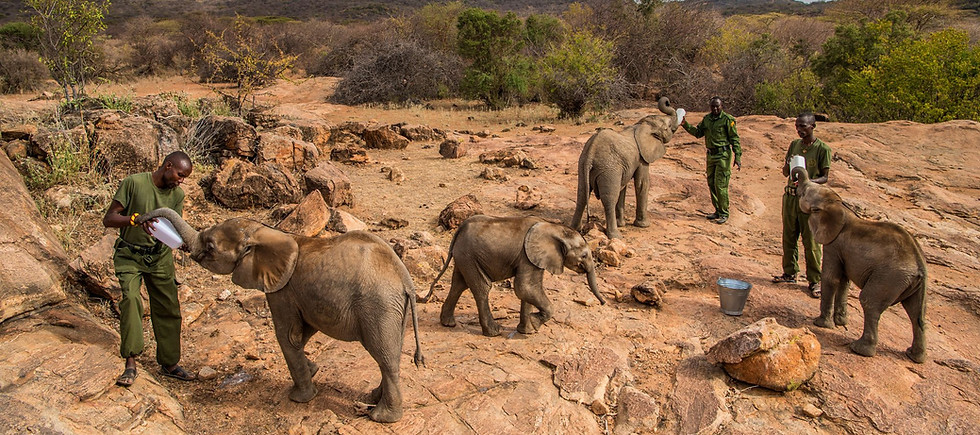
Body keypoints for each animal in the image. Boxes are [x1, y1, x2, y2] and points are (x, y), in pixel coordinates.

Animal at [137, 208, 423, 422]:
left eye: (210, 246)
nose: (144, 222)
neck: (266, 233)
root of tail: (405, 279)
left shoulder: (281, 290)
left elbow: (288, 336)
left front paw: (298, 398)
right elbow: (303, 333)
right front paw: (313, 369)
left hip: (378, 306)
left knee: (384, 356)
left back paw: (381, 418)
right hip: (393, 309)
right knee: (391, 353)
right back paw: (372, 399)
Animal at [420, 215, 605, 337]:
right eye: (583, 255)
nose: (603, 303)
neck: (553, 227)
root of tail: (459, 230)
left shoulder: (533, 258)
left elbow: (528, 290)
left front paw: (527, 331)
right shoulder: (527, 256)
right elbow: (524, 288)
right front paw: (535, 324)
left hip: (464, 256)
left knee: (459, 284)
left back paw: (448, 324)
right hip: (469, 255)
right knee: (481, 288)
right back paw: (494, 332)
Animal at [571, 96, 681, 239]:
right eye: (668, 127)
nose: (667, 101)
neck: (641, 125)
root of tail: (590, 153)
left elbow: (623, 187)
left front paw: (621, 223)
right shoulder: (642, 158)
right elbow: (642, 184)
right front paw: (643, 225)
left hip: (583, 165)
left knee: (582, 195)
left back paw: (574, 229)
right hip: (608, 169)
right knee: (609, 199)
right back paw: (615, 236)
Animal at [792, 167, 928, 363]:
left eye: (803, 194)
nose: (794, 180)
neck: (840, 205)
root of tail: (919, 265)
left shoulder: (834, 243)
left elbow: (832, 278)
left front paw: (821, 324)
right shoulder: (844, 251)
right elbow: (844, 281)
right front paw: (840, 322)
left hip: (890, 277)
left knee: (869, 301)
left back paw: (859, 349)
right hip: (912, 283)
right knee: (917, 313)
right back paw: (914, 356)